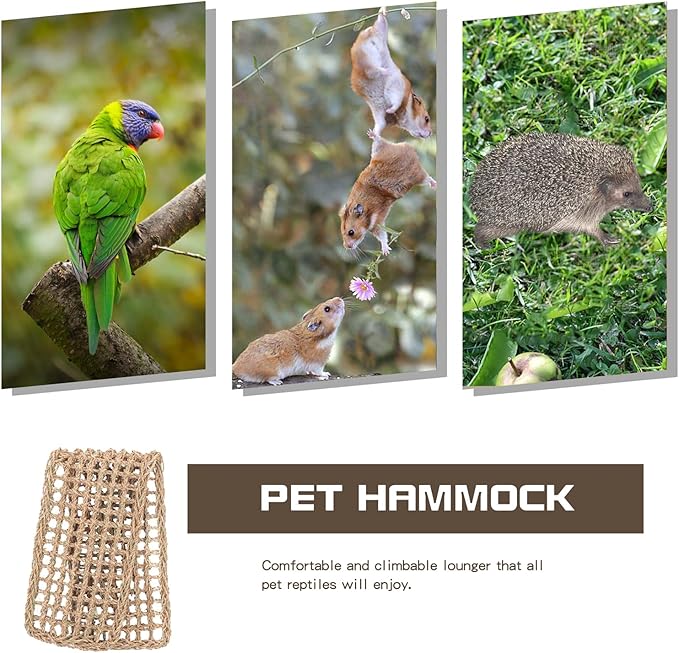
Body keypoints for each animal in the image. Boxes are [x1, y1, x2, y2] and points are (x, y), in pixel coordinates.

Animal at [350, 7, 432, 138]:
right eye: (426, 119)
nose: (430, 133)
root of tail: (368, 33)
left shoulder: (379, 112)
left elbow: (380, 125)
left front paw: (371, 133)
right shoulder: (397, 89)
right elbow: (395, 103)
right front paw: (390, 110)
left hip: (379, 33)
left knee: (380, 21)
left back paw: (382, 10)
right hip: (370, 54)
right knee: (372, 69)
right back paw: (385, 70)